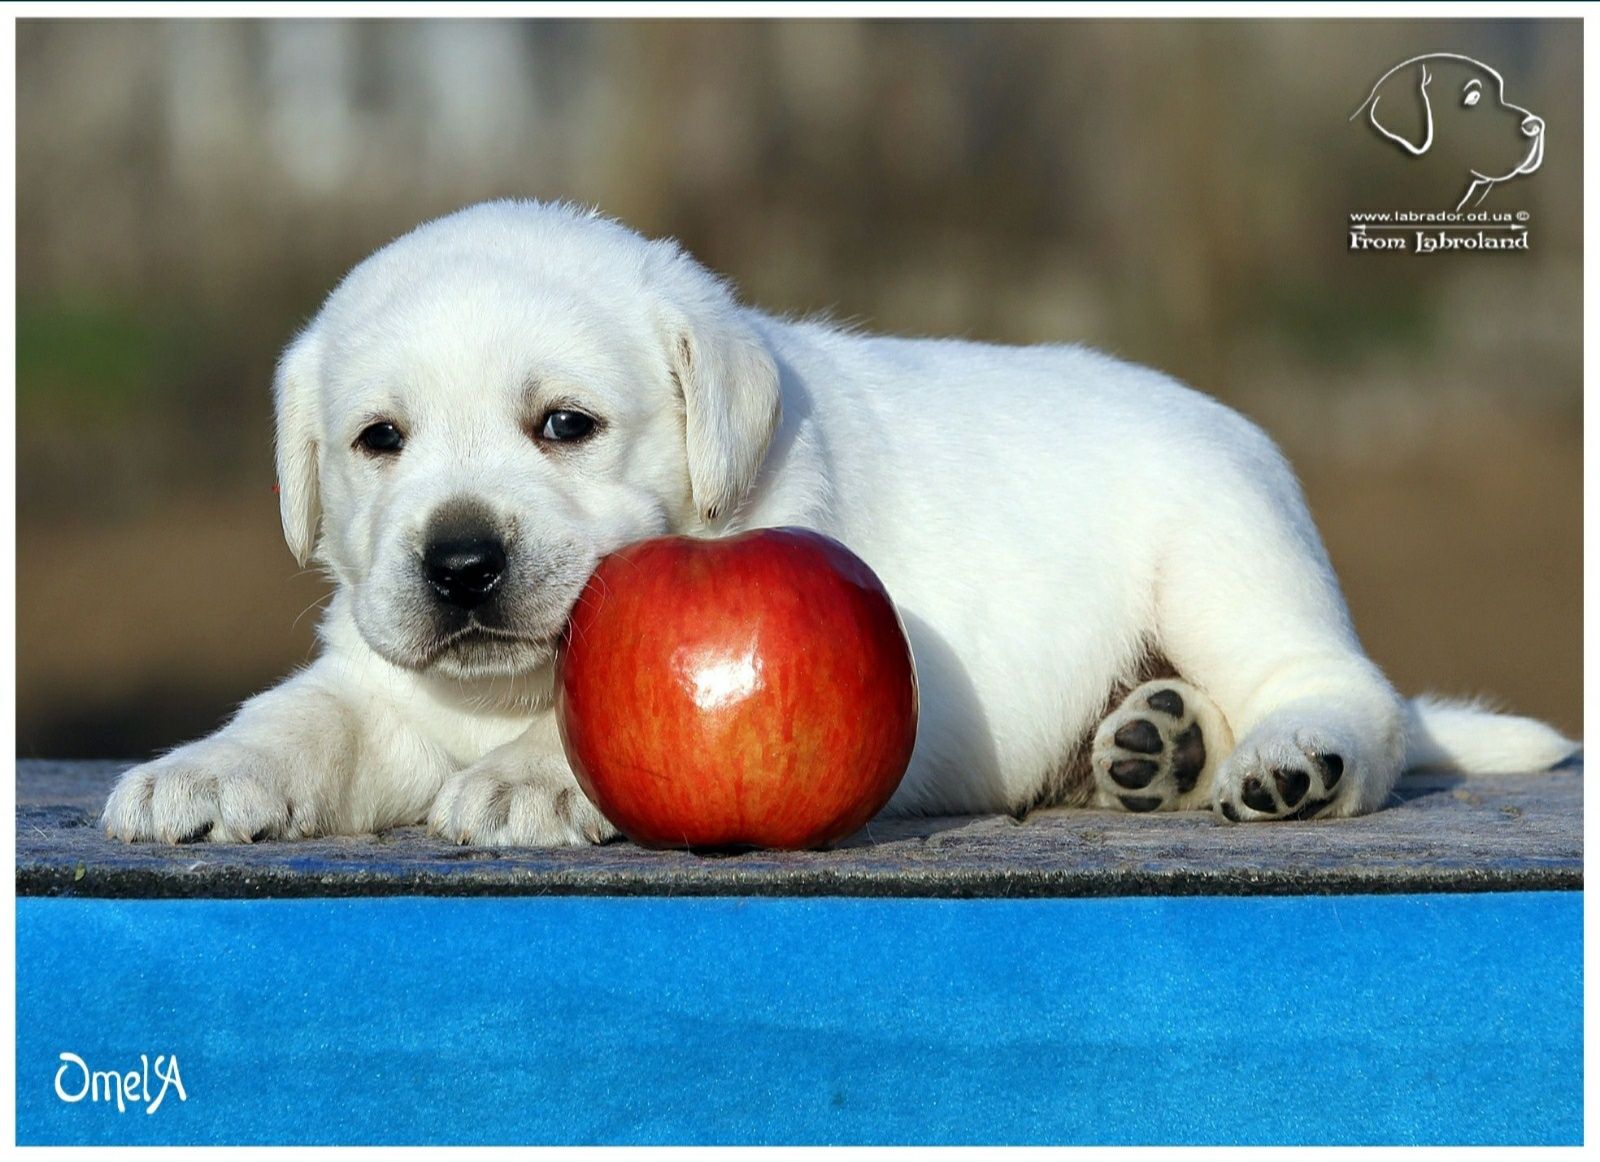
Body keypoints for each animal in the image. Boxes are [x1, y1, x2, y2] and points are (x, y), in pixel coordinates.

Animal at [103, 202, 1574, 845]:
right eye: (379, 441)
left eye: (566, 425)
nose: (459, 560)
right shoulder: (378, 671)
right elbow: (309, 717)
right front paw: (203, 771)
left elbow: (570, 735)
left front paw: (530, 778)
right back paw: (1150, 744)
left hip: (1227, 554)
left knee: (1346, 693)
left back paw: (1284, 758)